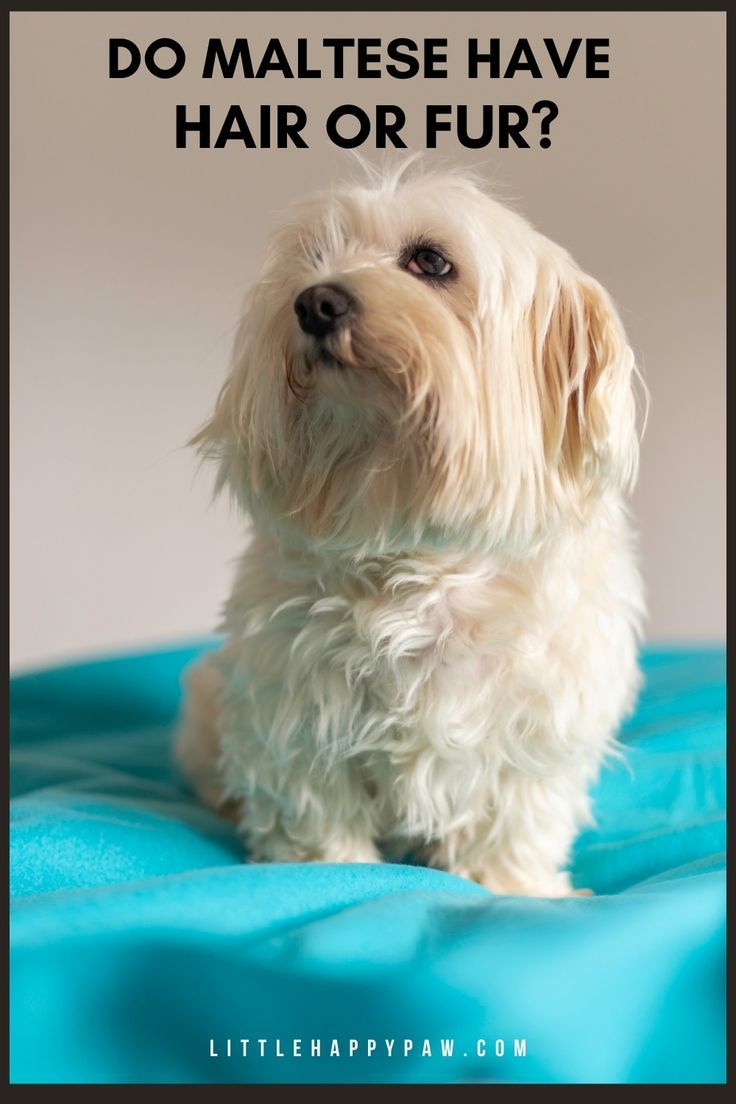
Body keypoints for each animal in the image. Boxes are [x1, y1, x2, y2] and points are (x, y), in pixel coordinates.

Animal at [175, 161, 648, 896]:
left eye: (431, 261)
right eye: (313, 257)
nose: (315, 303)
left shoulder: (539, 733)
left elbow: (516, 822)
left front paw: (515, 888)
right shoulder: (296, 717)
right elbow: (315, 812)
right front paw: (326, 872)